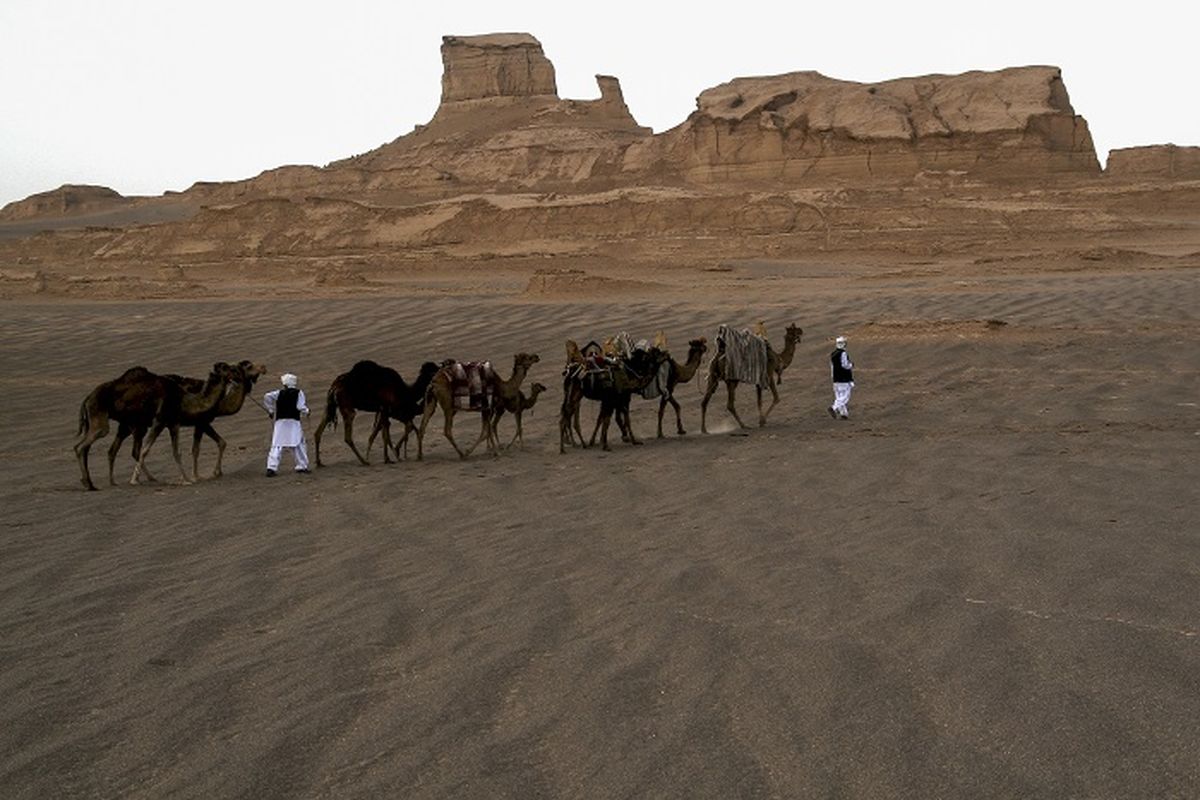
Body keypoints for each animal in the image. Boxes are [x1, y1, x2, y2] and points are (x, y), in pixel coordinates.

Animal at [75, 362, 236, 489]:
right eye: (225, 367)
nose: (235, 371)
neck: (183, 398)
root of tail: (87, 398)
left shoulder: (173, 423)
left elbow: (176, 452)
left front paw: (186, 479)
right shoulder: (159, 420)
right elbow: (145, 450)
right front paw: (134, 480)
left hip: (120, 423)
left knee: (102, 449)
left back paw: (105, 482)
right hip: (101, 418)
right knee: (82, 446)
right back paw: (89, 484)